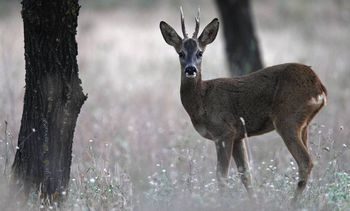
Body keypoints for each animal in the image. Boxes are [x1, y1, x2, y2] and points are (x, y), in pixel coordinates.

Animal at [160, 9, 326, 202]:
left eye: (200, 53)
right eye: (180, 53)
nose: (190, 69)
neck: (202, 100)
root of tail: (319, 87)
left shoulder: (224, 131)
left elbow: (221, 176)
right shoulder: (238, 134)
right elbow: (246, 175)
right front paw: (253, 202)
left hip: (287, 119)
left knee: (306, 161)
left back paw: (292, 203)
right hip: (304, 124)